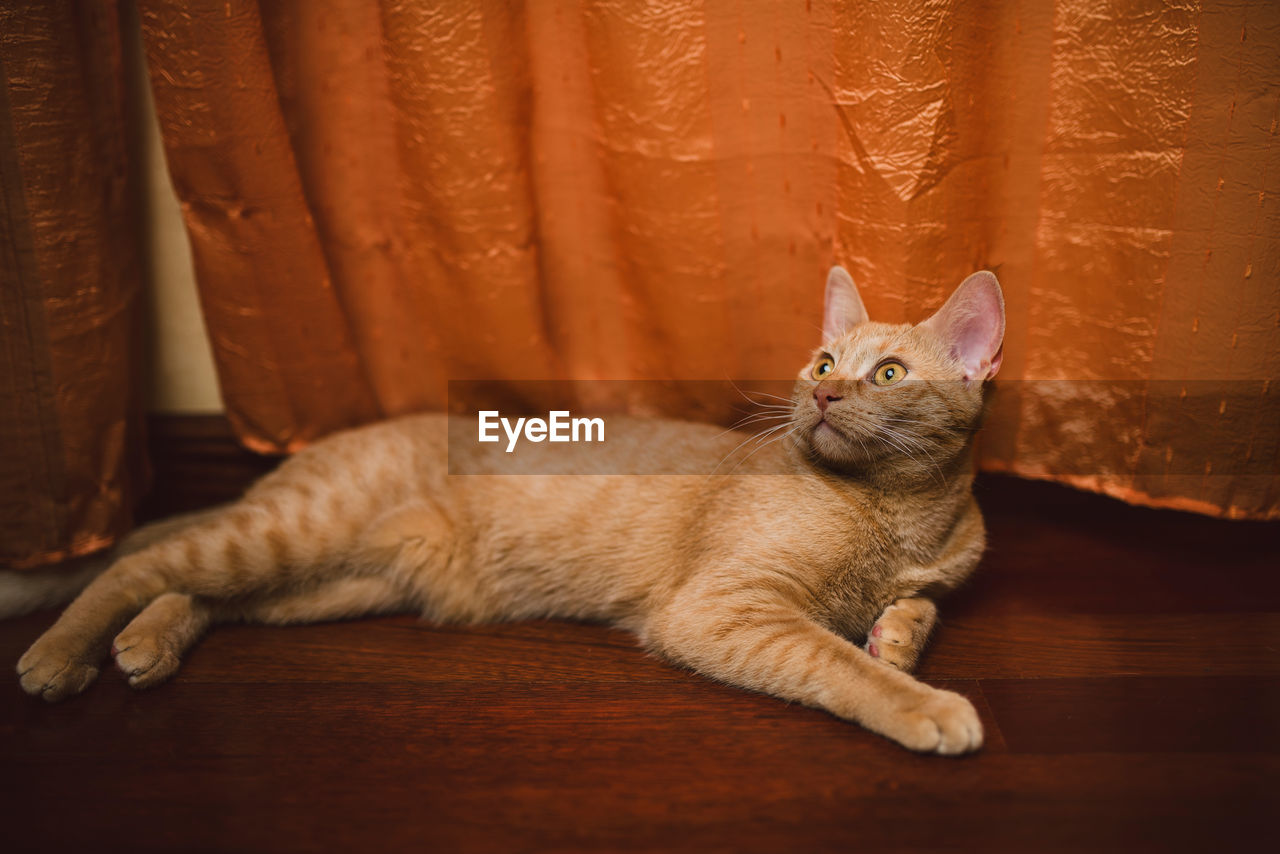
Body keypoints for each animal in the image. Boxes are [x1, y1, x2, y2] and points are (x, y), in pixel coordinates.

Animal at [15, 267, 1003, 752]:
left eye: (887, 374)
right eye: (823, 363)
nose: (825, 397)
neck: (899, 514)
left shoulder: (933, 571)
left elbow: (916, 606)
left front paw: (894, 635)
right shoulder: (724, 609)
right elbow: (834, 663)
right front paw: (919, 702)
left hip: (327, 582)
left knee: (200, 594)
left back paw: (144, 645)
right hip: (299, 536)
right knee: (138, 562)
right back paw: (61, 654)